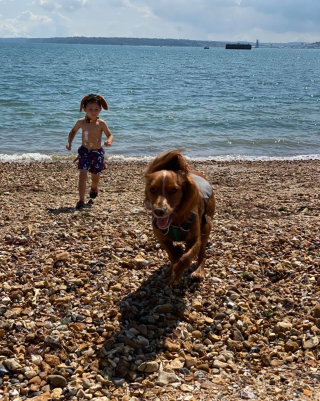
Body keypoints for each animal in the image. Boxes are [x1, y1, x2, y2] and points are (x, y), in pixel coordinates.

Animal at [144, 149, 215, 284]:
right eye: (152, 189)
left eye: (174, 190)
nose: (159, 211)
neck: (174, 221)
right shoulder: (161, 237)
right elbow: (173, 255)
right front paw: (173, 267)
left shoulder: (195, 239)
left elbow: (186, 257)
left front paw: (174, 274)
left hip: (207, 224)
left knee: (202, 254)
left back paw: (198, 271)